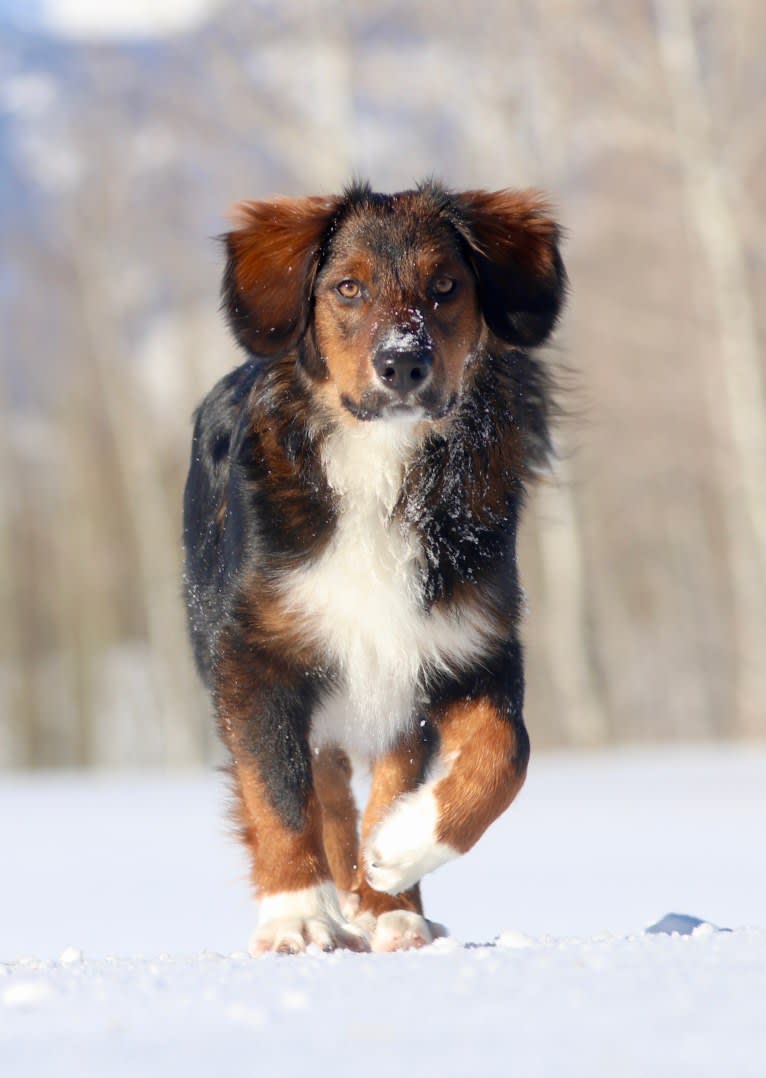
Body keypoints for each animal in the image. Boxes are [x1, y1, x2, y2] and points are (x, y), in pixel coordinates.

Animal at [184, 181, 568, 957]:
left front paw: (402, 850)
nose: (402, 363)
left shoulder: (463, 645)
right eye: (348, 287)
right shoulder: (256, 657)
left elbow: (507, 752)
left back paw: (390, 904)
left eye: (445, 286)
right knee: (321, 790)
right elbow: (278, 793)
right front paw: (297, 915)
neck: (382, 466)